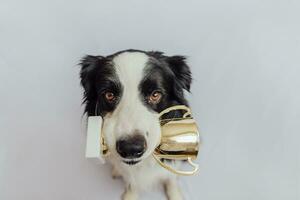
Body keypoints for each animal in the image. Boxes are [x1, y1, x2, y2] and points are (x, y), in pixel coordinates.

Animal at [79, 49, 192, 200]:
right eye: (109, 95)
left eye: (155, 95)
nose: (131, 148)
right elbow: (131, 182)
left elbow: (171, 177)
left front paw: (175, 194)